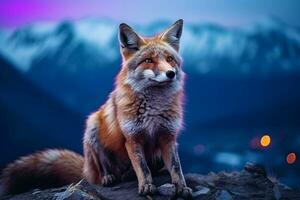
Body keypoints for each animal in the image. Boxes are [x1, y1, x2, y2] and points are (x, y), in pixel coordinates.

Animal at [0, 19, 192, 198]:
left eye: (169, 59)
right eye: (148, 60)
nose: (170, 74)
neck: (154, 109)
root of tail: (86, 170)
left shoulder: (168, 137)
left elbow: (176, 168)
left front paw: (181, 188)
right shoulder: (132, 138)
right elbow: (143, 168)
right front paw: (146, 186)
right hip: (92, 129)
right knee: (103, 169)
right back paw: (110, 177)